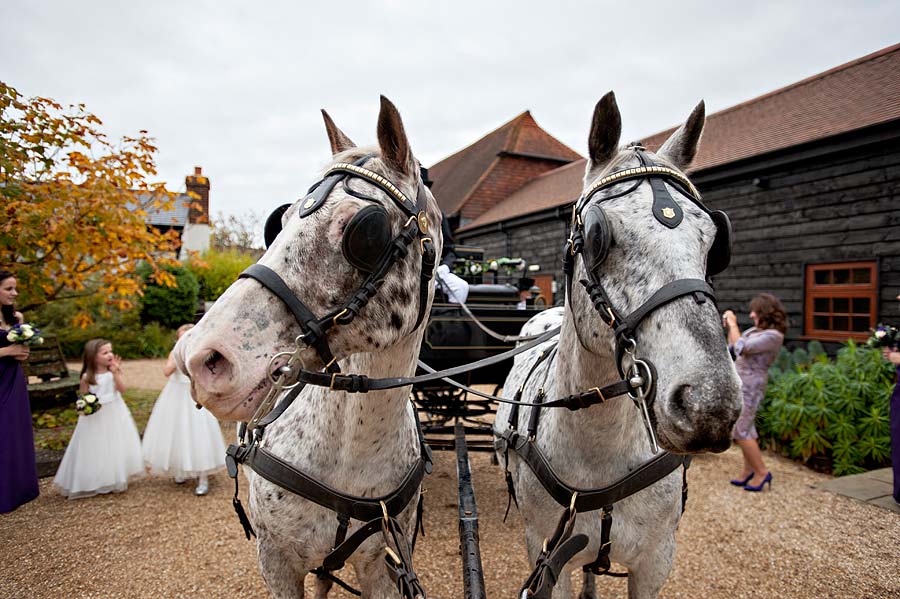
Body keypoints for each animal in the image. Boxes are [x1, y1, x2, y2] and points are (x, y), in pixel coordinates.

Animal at [496, 90, 740, 599]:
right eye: (595, 235)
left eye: (716, 239)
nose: (709, 406)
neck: (600, 447)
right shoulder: (547, 557)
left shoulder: (655, 562)